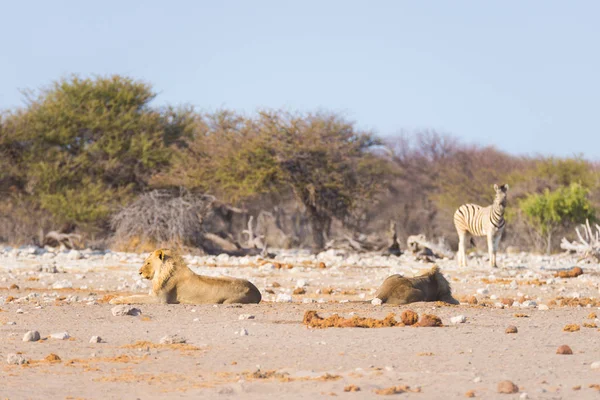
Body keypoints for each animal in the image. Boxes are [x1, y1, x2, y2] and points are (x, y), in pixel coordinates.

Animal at [111, 248, 262, 304]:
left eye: (148, 262)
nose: (139, 272)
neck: (161, 273)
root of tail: (258, 292)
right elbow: (134, 295)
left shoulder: (159, 299)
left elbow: (134, 297)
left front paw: (114, 300)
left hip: (229, 301)